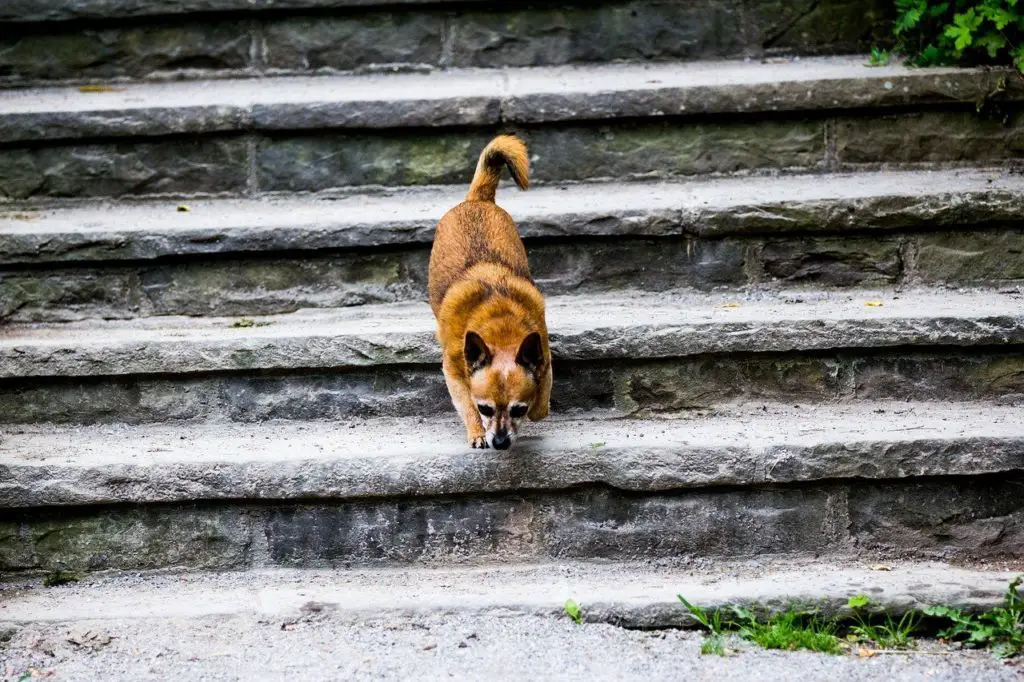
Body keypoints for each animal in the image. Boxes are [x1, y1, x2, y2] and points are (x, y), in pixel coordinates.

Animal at [425, 135, 552, 448]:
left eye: (518, 409)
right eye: (485, 408)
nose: (501, 441)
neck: (500, 323)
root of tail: (477, 199)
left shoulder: (544, 356)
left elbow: (540, 405)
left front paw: (537, 407)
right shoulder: (453, 371)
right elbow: (465, 403)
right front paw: (476, 432)